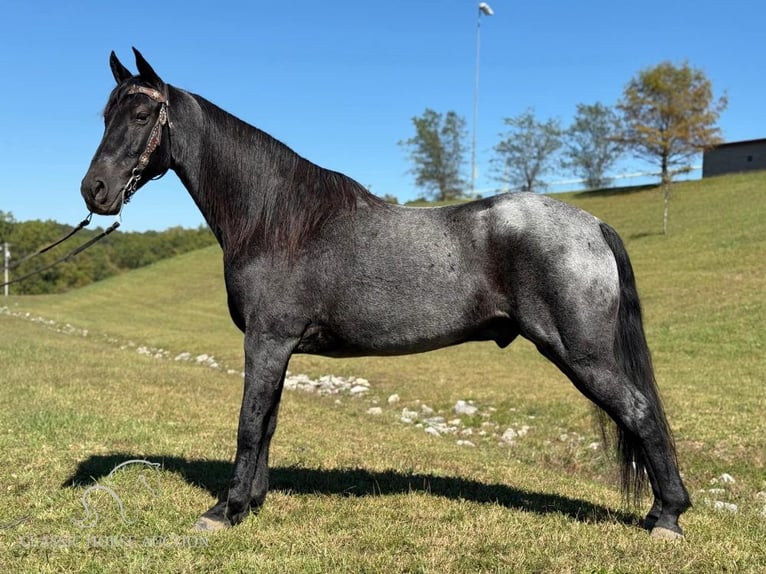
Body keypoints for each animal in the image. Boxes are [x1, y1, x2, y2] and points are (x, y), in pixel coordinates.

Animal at [81, 49, 692, 540]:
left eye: (141, 115)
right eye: (105, 115)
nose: (95, 190)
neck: (276, 219)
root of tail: (592, 224)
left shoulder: (267, 340)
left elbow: (250, 422)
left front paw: (223, 511)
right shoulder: (277, 347)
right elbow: (268, 421)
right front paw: (251, 503)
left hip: (581, 354)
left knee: (640, 412)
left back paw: (667, 517)